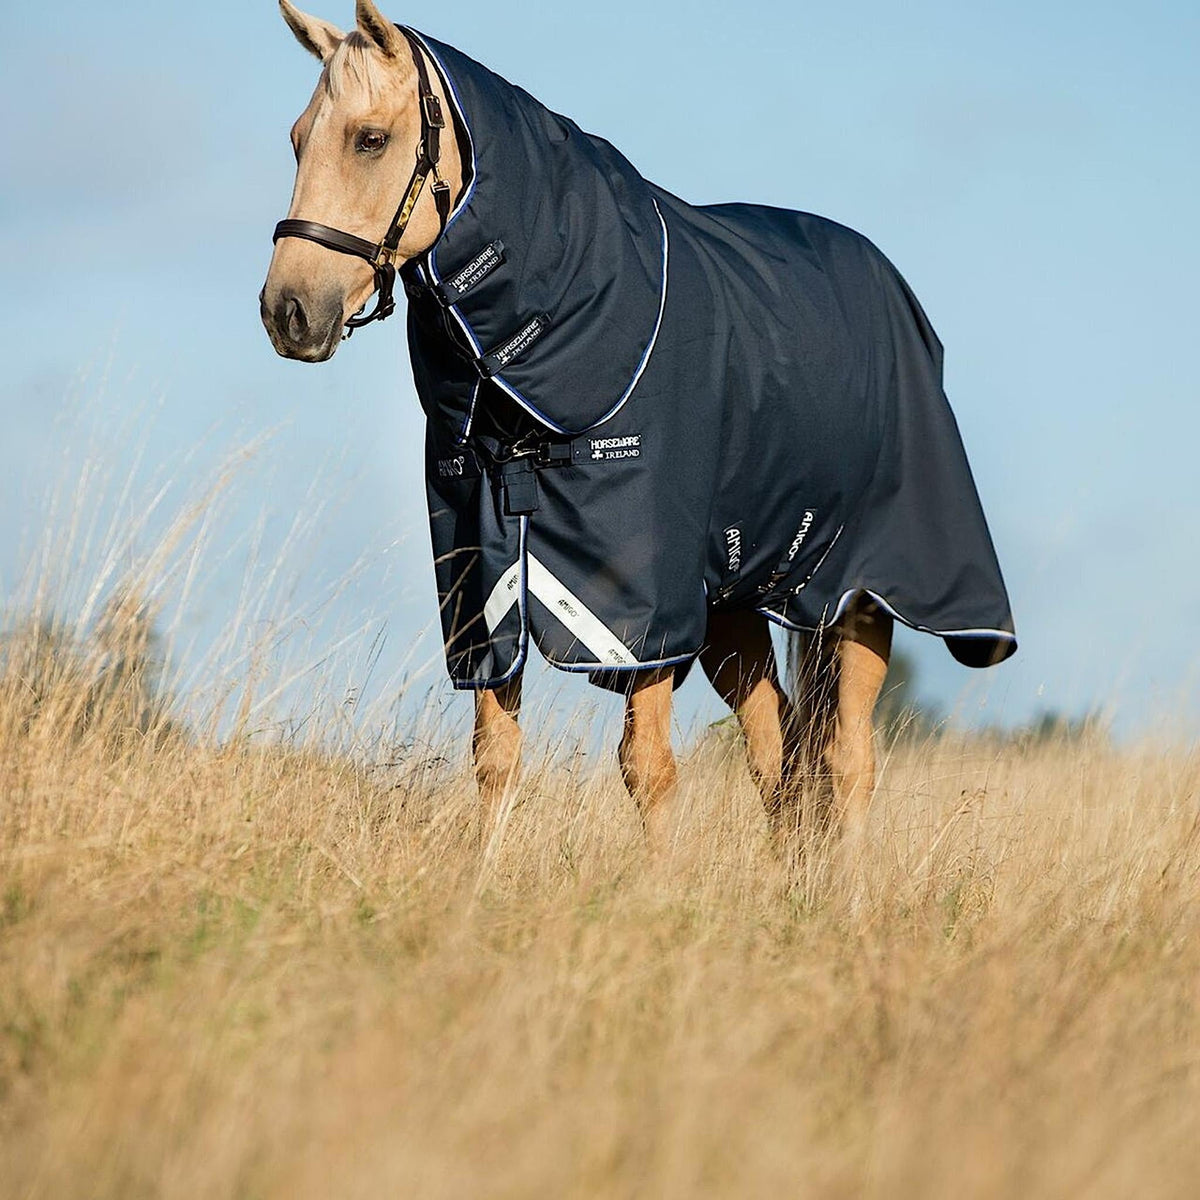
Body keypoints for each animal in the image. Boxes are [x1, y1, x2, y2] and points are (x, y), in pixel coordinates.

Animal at [261, 1, 1016, 857]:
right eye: (297, 137)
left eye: (369, 139)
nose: (288, 311)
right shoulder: (487, 583)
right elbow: (494, 757)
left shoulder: (638, 606)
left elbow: (646, 766)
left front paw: (656, 886)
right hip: (731, 607)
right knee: (780, 754)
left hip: (862, 597)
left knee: (846, 760)